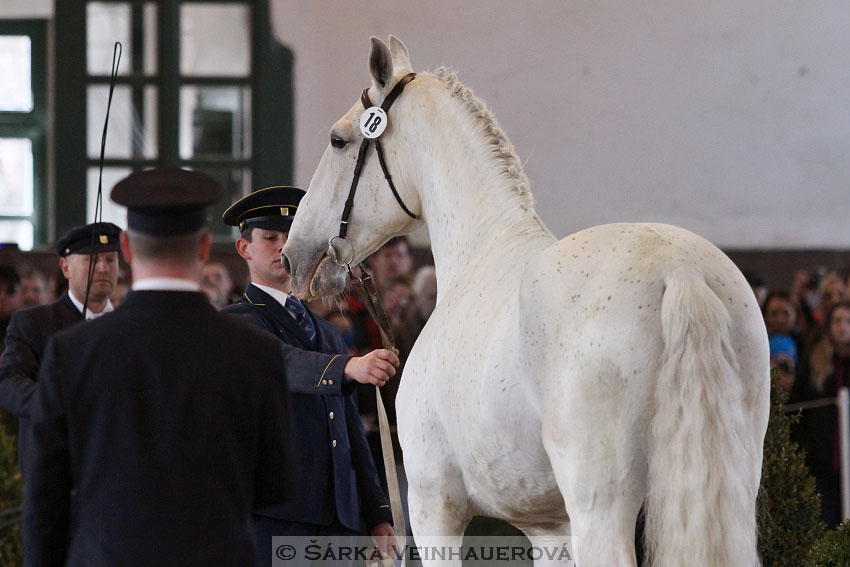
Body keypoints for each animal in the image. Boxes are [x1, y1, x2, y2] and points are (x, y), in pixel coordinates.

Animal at [284, 36, 768, 567]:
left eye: (338, 140)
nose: (293, 256)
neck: (482, 249)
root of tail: (679, 271)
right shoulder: (549, 527)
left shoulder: (433, 506)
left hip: (600, 505)